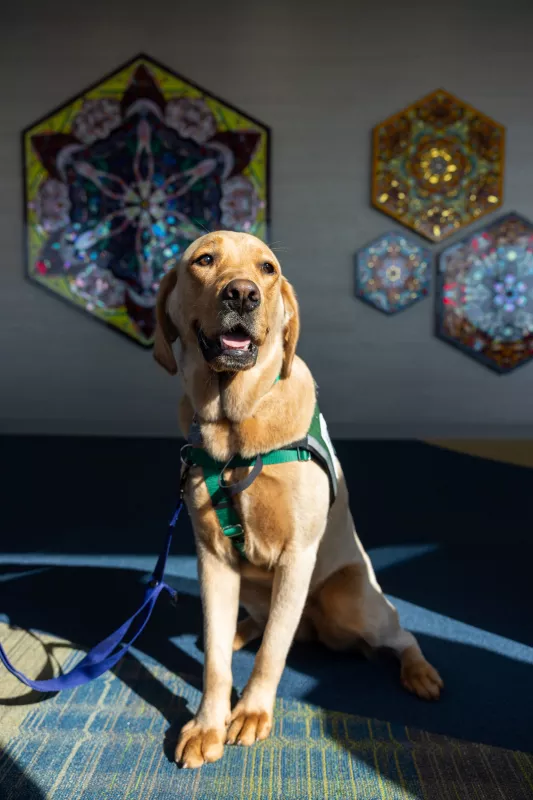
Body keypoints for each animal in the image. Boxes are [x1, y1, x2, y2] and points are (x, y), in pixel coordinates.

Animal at [154, 230, 443, 769]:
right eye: (205, 259)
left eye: (267, 268)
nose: (243, 294)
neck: (236, 432)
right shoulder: (212, 559)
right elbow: (216, 663)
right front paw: (207, 724)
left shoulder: (297, 554)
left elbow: (272, 654)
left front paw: (250, 712)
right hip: (250, 587)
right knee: (255, 625)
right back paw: (240, 630)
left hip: (352, 599)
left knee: (401, 636)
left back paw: (418, 672)